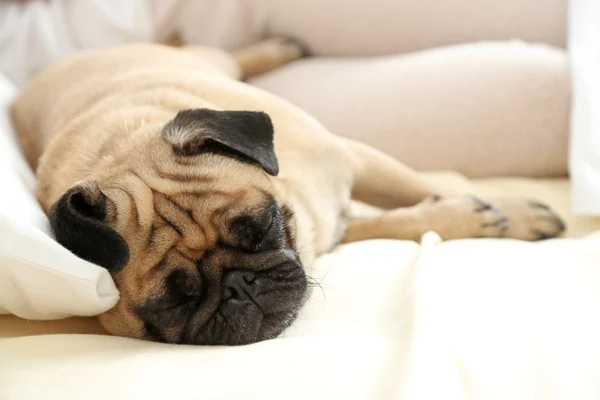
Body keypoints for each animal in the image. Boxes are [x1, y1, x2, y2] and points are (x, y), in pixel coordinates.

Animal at [10, 37, 568, 346]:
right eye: (173, 303)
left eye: (261, 228)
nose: (239, 287)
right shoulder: (331, 227)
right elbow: (401, 219)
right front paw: (473, 214)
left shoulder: (354, 160)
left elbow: (420, 187)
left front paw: (511, 212)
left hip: (206, 61)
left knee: (228, 55)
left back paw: (279, 47)